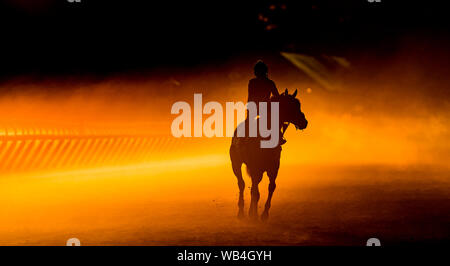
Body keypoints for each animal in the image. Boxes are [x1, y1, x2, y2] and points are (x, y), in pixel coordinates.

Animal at [230, 89, 308, 220]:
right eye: (291, 106)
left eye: (298, 105)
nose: (304, 122)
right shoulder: (255, 168)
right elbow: (255, 191)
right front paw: (253, 215)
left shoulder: (273, 168)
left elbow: (271, 187)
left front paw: (264, 214)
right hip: (236, 164)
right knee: (241, 184)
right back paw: (241, 211)